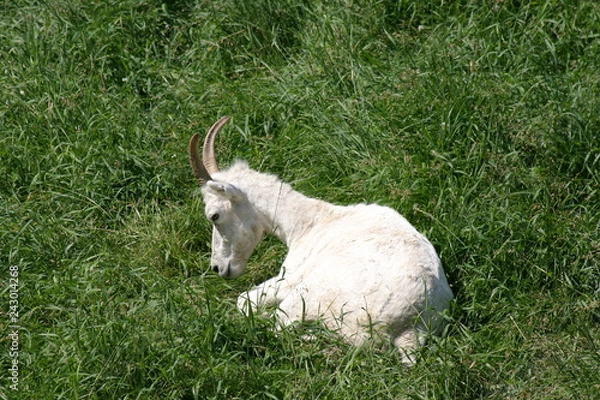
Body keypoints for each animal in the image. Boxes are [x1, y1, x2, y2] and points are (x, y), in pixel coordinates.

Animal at [190, 116, 452, 366]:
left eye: (214, 215)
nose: (218, 267)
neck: (311, 222)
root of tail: (409, 330)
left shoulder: (289, 276)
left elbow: (244, 301)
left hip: (306, 299)